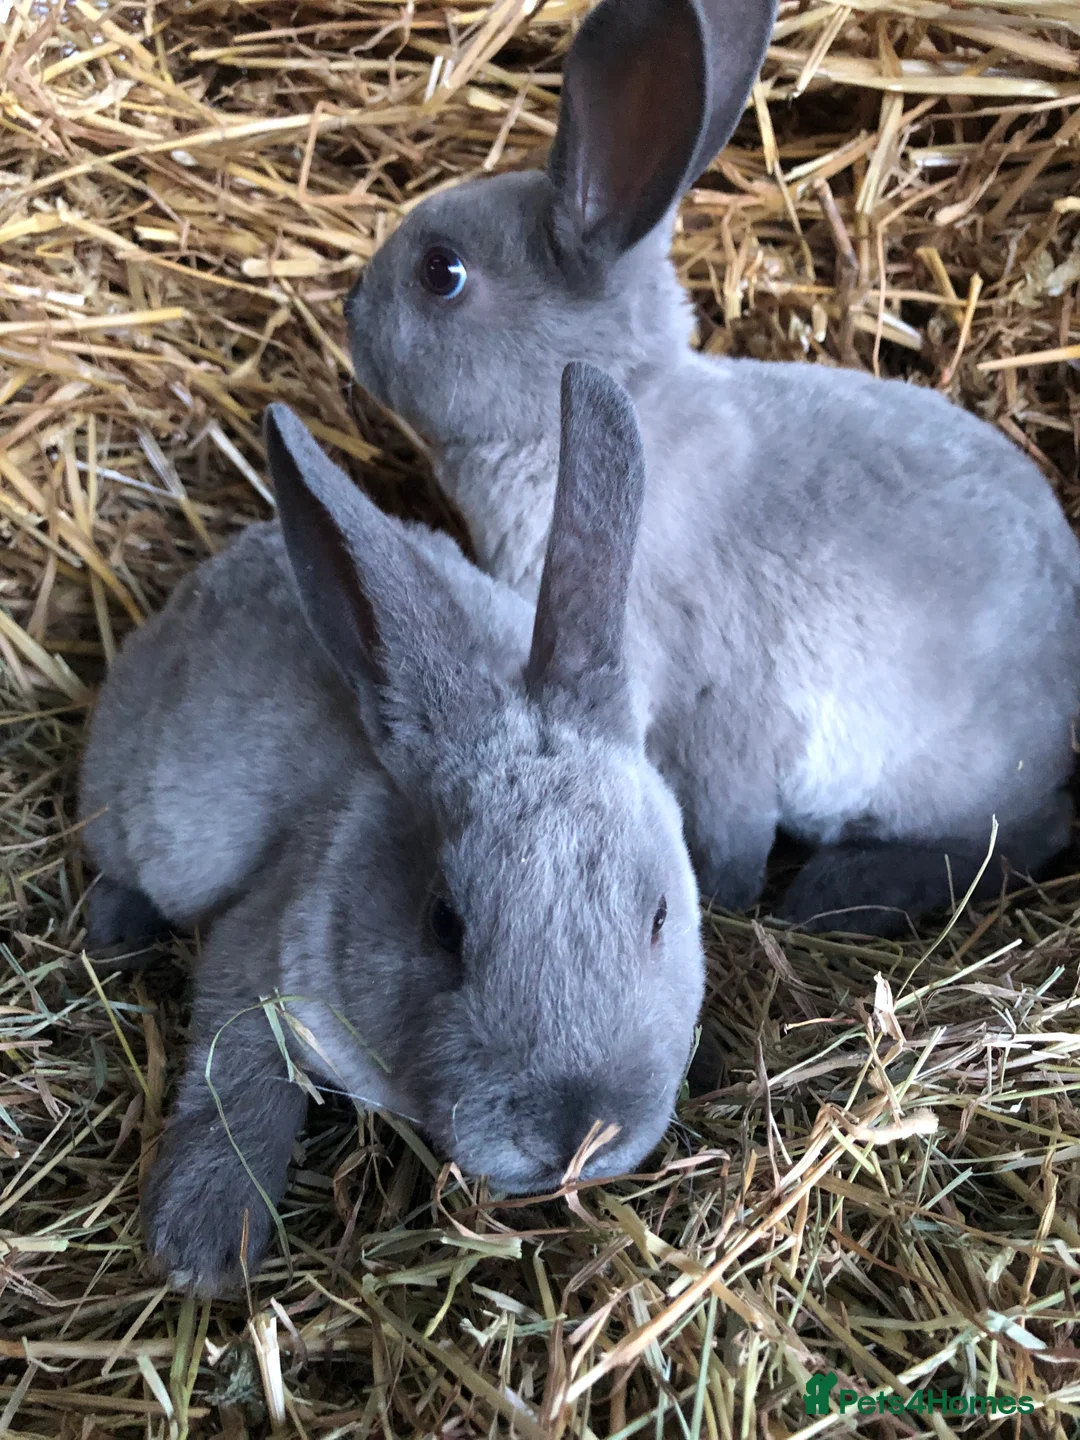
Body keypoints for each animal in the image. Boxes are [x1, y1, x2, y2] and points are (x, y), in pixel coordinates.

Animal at [78, 362, 707, 1295]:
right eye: (443, 924)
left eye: (660, 916)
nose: (577, 1135)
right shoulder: (254, 964)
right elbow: (234, 1087)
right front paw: (200, 1249)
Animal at [343, 0, 1080, 937]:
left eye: (442, 273)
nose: (350, 309)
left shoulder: (721, 710)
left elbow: (730, 832)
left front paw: (726, 898)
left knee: (1016, 836)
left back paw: (835, 894)